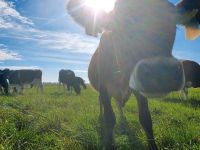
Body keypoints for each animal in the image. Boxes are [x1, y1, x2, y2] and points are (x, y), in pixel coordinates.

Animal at [67, 0, 200, 149]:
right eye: (117, 28)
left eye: (174, 26)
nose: (159, 72)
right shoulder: (103, 87)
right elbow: (109, 118)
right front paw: (109, 141)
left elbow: (146, 119)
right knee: (101, 103)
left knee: (119, 105)